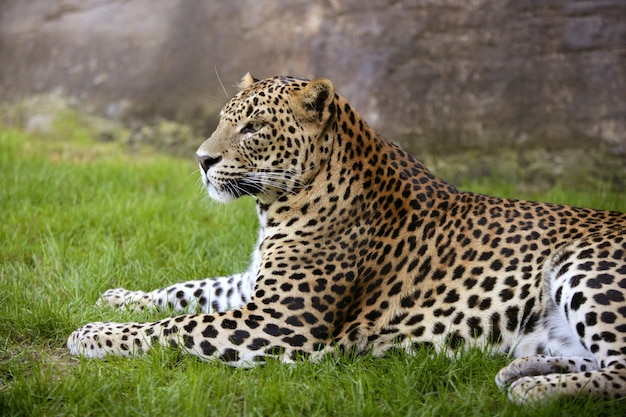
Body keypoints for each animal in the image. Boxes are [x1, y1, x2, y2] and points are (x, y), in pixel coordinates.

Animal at [68, 73, 624, 402]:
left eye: (253, 128)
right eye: (224, 119)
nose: (202, 160)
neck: (278, 204)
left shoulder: (278, 322)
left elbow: (176, 326)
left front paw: (93, 334)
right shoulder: (251, 288)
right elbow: (186, 290)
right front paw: (118, 297)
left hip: (585, 269)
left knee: (619, 372)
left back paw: (535, 390)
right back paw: (523, 370)